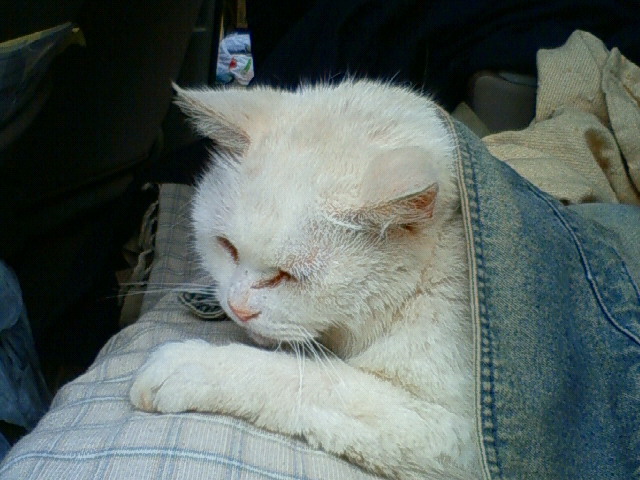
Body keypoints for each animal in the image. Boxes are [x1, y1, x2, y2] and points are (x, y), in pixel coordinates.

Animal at [130, 80, 479, 480]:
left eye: (289, 276)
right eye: (228, 247)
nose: (237, 307)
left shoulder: (453, 432)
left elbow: (302, 379)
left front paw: (190, 366)